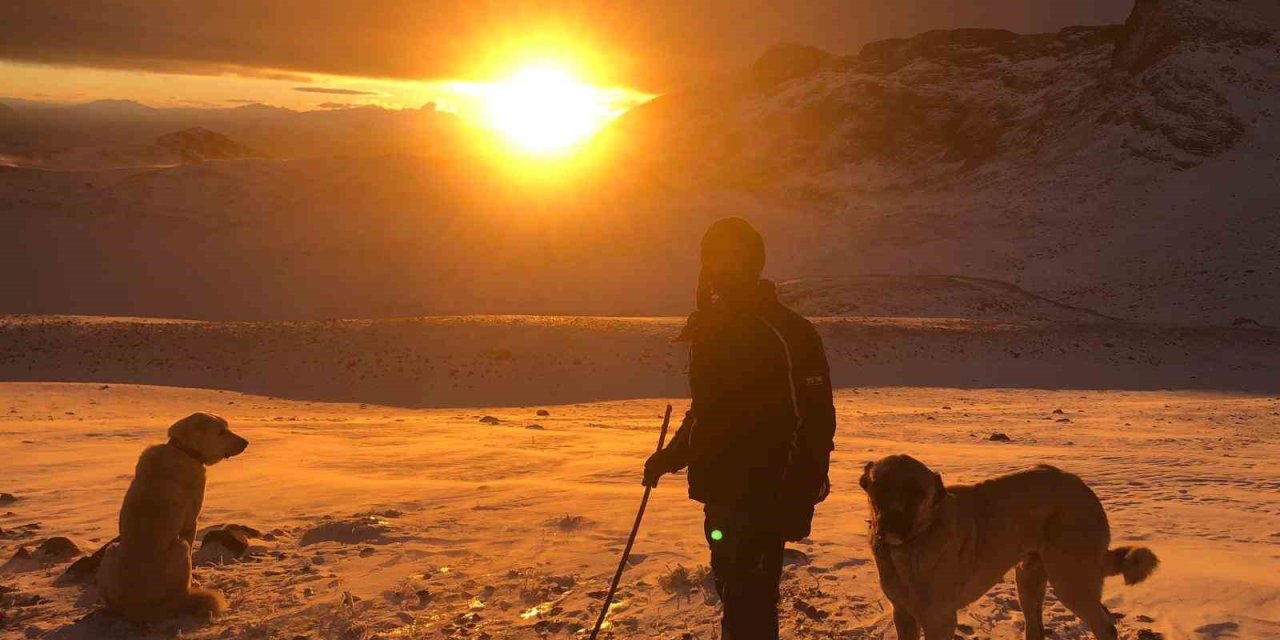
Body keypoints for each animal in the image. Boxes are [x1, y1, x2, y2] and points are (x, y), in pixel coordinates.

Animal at [96, 412, 248, 622]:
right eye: (221, 432)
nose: (247, 442)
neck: (183, 450)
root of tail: (137, 609)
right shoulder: (190, 524)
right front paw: (195, 580)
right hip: (179, 546)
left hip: (112, 550)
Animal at [860, 455, 1162, 640]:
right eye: (879, 487)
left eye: (917, 493)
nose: (890, 524)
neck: (914, 542)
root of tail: (1085, 490)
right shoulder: (904, 615)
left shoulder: (939, 619)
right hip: (1028, 580)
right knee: (1036, 628)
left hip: (1070, 580)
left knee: (1106, 627)